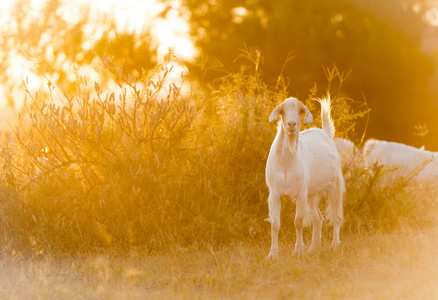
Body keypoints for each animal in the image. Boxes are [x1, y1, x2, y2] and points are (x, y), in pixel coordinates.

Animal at [266, 96, 344, 258]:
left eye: (300, 111)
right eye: (282, 111)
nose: (291, 124)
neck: (286, 163)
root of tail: (325, 133)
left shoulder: (301, 193)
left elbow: (298, 222)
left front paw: (297, 251)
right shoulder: (274, 193)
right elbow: (275, 224)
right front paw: (273, 254)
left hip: (335, 184)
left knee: (336, 216)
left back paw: (334, 245)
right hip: (312, 193)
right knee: (318, 218)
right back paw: (314, 248)